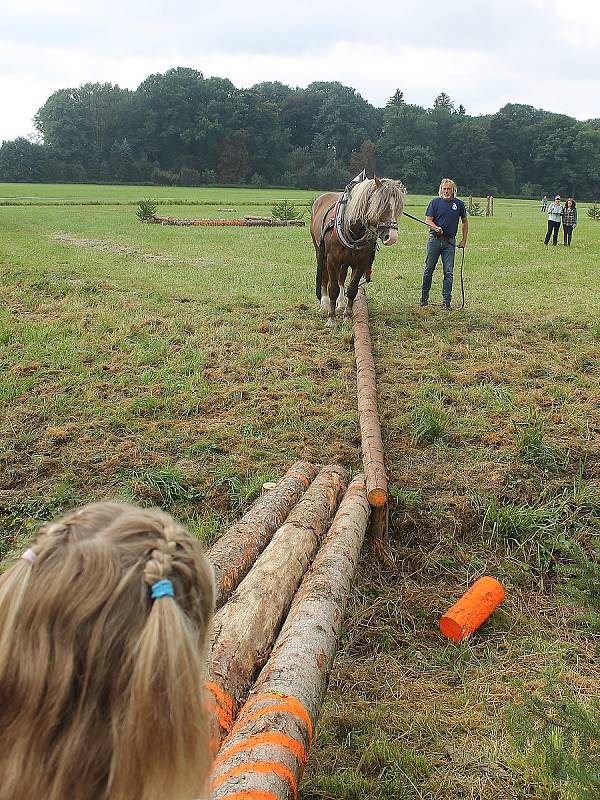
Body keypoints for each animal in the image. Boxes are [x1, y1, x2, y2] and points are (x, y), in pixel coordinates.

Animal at [312, 173, 406, 326]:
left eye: (397, 208)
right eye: (382, 205)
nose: (391, 237)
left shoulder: (362, 263)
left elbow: (352, 289)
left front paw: (347, 316)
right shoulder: (332, 259)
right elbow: (333, 288)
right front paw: (331, 319)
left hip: (345, 261)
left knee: (342, 278)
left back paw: (340, 303)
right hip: (320, 252)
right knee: (325, 277)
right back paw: (324, 304)